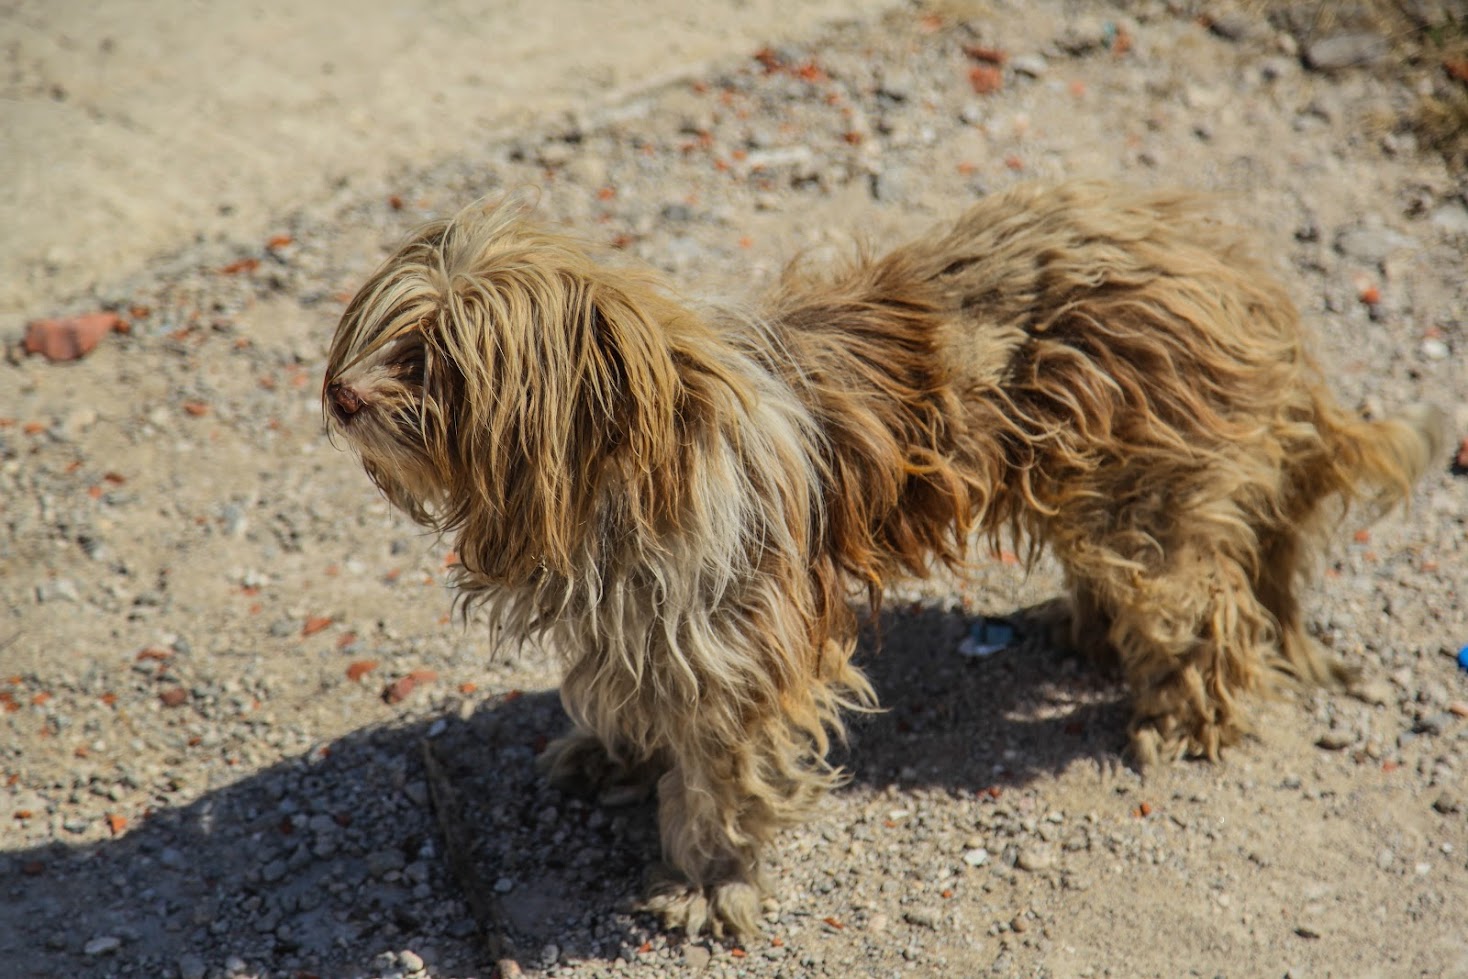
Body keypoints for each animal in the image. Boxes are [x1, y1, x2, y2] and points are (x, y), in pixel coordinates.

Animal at [327, 182, 1438, 933]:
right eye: (381, 327)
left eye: (438, 358)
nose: (338, 394)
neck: (618, 467)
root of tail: (1226, 265)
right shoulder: (638, 621)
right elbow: (631, 694)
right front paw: (613, 754)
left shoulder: (737, 651)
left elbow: (720, 777)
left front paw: (706, 881)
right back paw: (1085, 630)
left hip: (1144, 499)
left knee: (1207, 606)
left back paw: (1183, 715)